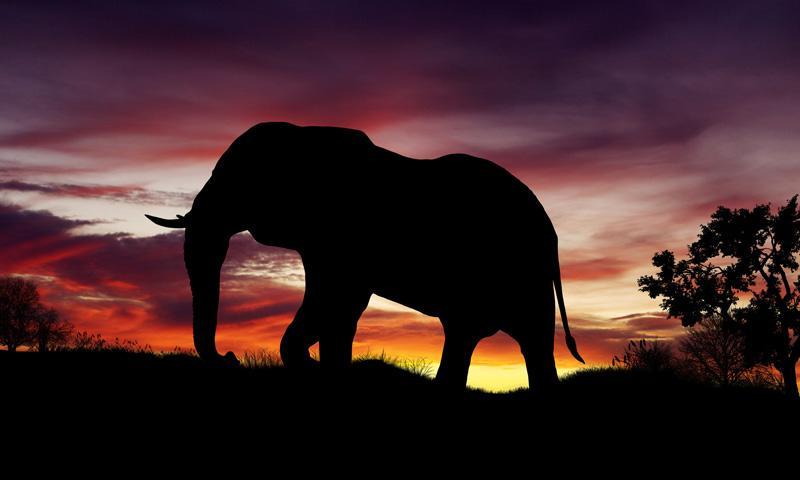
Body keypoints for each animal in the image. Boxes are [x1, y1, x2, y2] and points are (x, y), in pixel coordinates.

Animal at [146, 121, 583, 391]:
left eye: (235, 179)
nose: (231, 358)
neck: (303, 136)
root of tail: (551, 231)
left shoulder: (343, 238)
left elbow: (337, 301)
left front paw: (316, 366)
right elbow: (339, 308)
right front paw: (326, 368)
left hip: (522, 270)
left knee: (527, 339)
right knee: (472, 334)